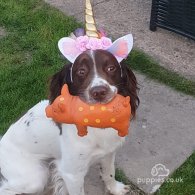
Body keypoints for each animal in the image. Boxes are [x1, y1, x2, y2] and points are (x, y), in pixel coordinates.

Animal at [0, 37, 139, 193]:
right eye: (81, 71)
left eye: (111, 68)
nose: (99, 92)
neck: (97, 120)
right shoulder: (72, 174)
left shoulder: (109, 152)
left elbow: (109, 172)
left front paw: (115, 189)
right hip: (34, 179)